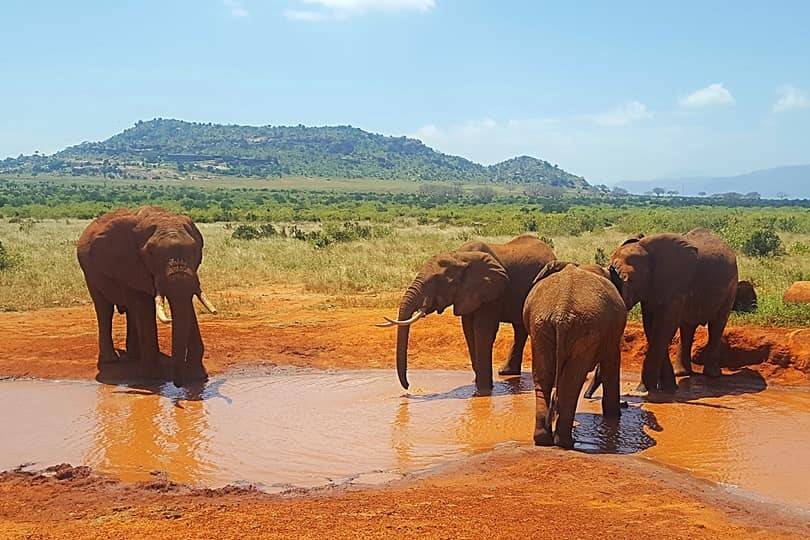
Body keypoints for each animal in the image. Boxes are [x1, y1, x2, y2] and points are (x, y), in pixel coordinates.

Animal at [74, 207, 215, 388]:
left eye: (195, 251)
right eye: (151, 253)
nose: (178, 384)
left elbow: (186, 304)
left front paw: (197, 377)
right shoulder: (130, 264)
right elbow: (143, 306)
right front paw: (152, 379)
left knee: (130, 311)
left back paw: (134, 356)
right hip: (89, 274)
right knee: (104, 309)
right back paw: (111, 361)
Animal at [374, 234, 552, 394]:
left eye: (439, 281)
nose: (408, 388)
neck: (460, 257)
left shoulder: (491, 291)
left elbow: (483, 331)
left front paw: (483, 391)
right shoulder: (467, 294)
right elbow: (468, 331)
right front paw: (478, 385)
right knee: (519, 329)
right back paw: (506, 373)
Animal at [520, 260, 628, 448]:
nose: (626, 404)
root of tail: (562, 310)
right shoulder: (612, 337)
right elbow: (612, 363)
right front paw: (614, 416)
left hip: (541, 326)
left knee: (544, 376)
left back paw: (544, 440)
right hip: (583, 329)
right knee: (572, 381)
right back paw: (566, 442)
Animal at [608, 226, 736, 394]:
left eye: (632, 280)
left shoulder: (675, 284)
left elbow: (664, 326)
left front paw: (644, 390)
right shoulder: (651, 289)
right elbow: (652, 327)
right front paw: (666, 388)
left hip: (731, 286)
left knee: (717, 324)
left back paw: (712, 375)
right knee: (687, 327)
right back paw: (681, 373)